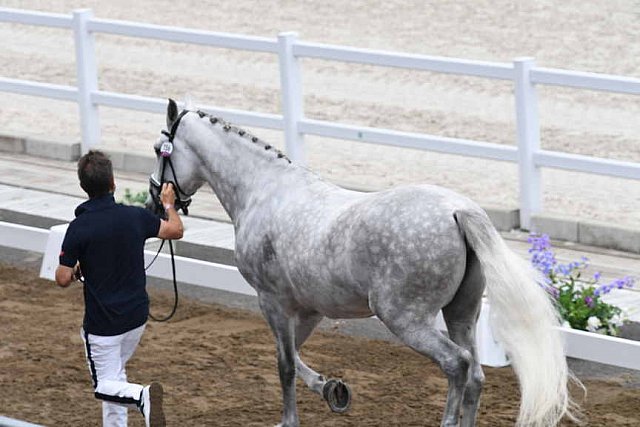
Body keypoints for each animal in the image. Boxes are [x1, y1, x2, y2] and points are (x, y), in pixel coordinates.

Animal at [149, 101, 580, 427]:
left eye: (158, 149)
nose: (156, 201)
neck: (264, 191)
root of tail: (458, 211)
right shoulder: (309, 307)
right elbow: (293, 355)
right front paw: (331, 390)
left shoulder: (273, 301)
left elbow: (284, 363)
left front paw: (290, 419)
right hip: (462, 313)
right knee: (474, 373)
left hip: (405, 318)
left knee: (456, 364)